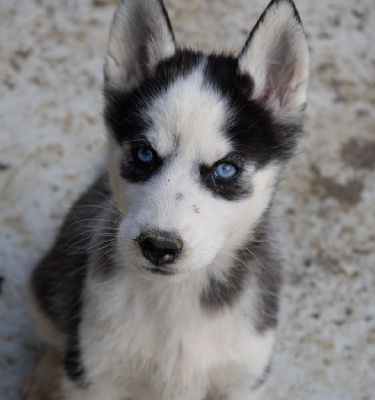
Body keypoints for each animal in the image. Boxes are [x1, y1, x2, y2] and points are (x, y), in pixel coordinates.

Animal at [23, 0, 310, 398]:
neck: (177, 296)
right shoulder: (94, 373)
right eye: (144, 154)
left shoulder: (243, 377)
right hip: (47, 292)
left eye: (225, 170)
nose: (158, 246)